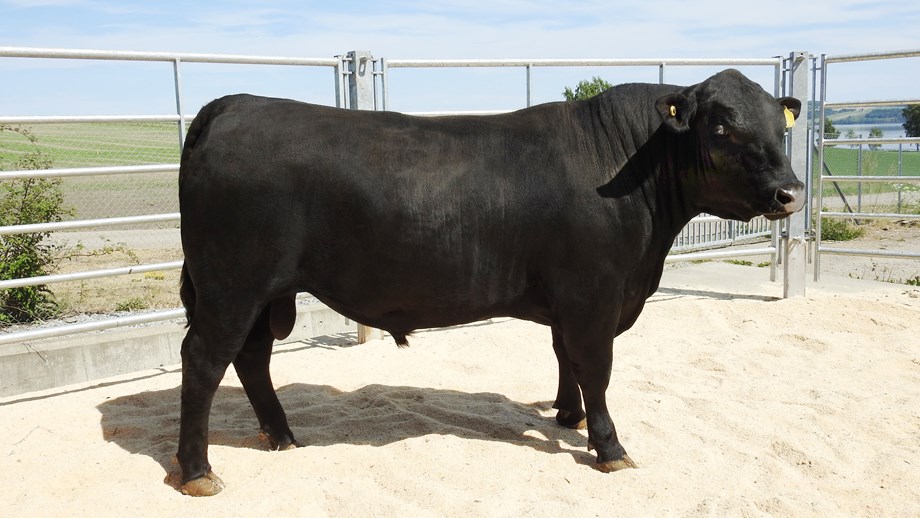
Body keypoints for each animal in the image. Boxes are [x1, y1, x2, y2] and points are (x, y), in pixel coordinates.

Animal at [174, 69, 804, 496]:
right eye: (720, 126)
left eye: (780, 124)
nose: (790, 192)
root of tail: (235, 103)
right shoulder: (594, 296)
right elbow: (597, 369)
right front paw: (609, 446)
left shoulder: (568, 301)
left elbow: (566, 358)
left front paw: (567, 416)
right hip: (232, 283)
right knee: (204, 360)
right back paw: (198, 469)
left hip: (262, 293)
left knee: (251, 358)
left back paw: (282, 436)